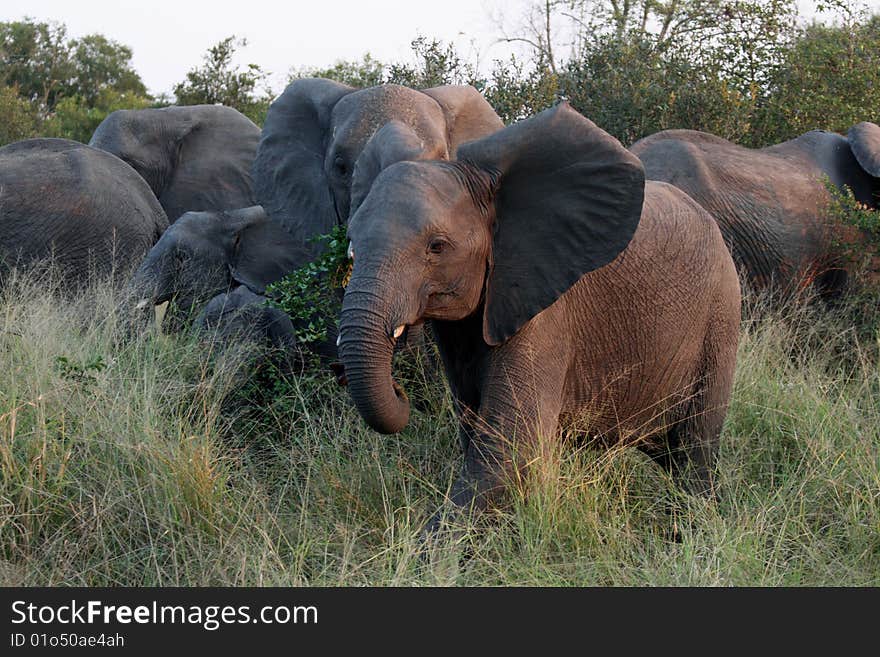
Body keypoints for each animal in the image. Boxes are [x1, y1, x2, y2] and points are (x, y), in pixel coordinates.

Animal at [336, 102, 744, 532]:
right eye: (352, 245)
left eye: (437, 247)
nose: (401, 391)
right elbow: (478, 431)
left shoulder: (545, 309)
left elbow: (508, 449)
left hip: (721, 315)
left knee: (694, 451)